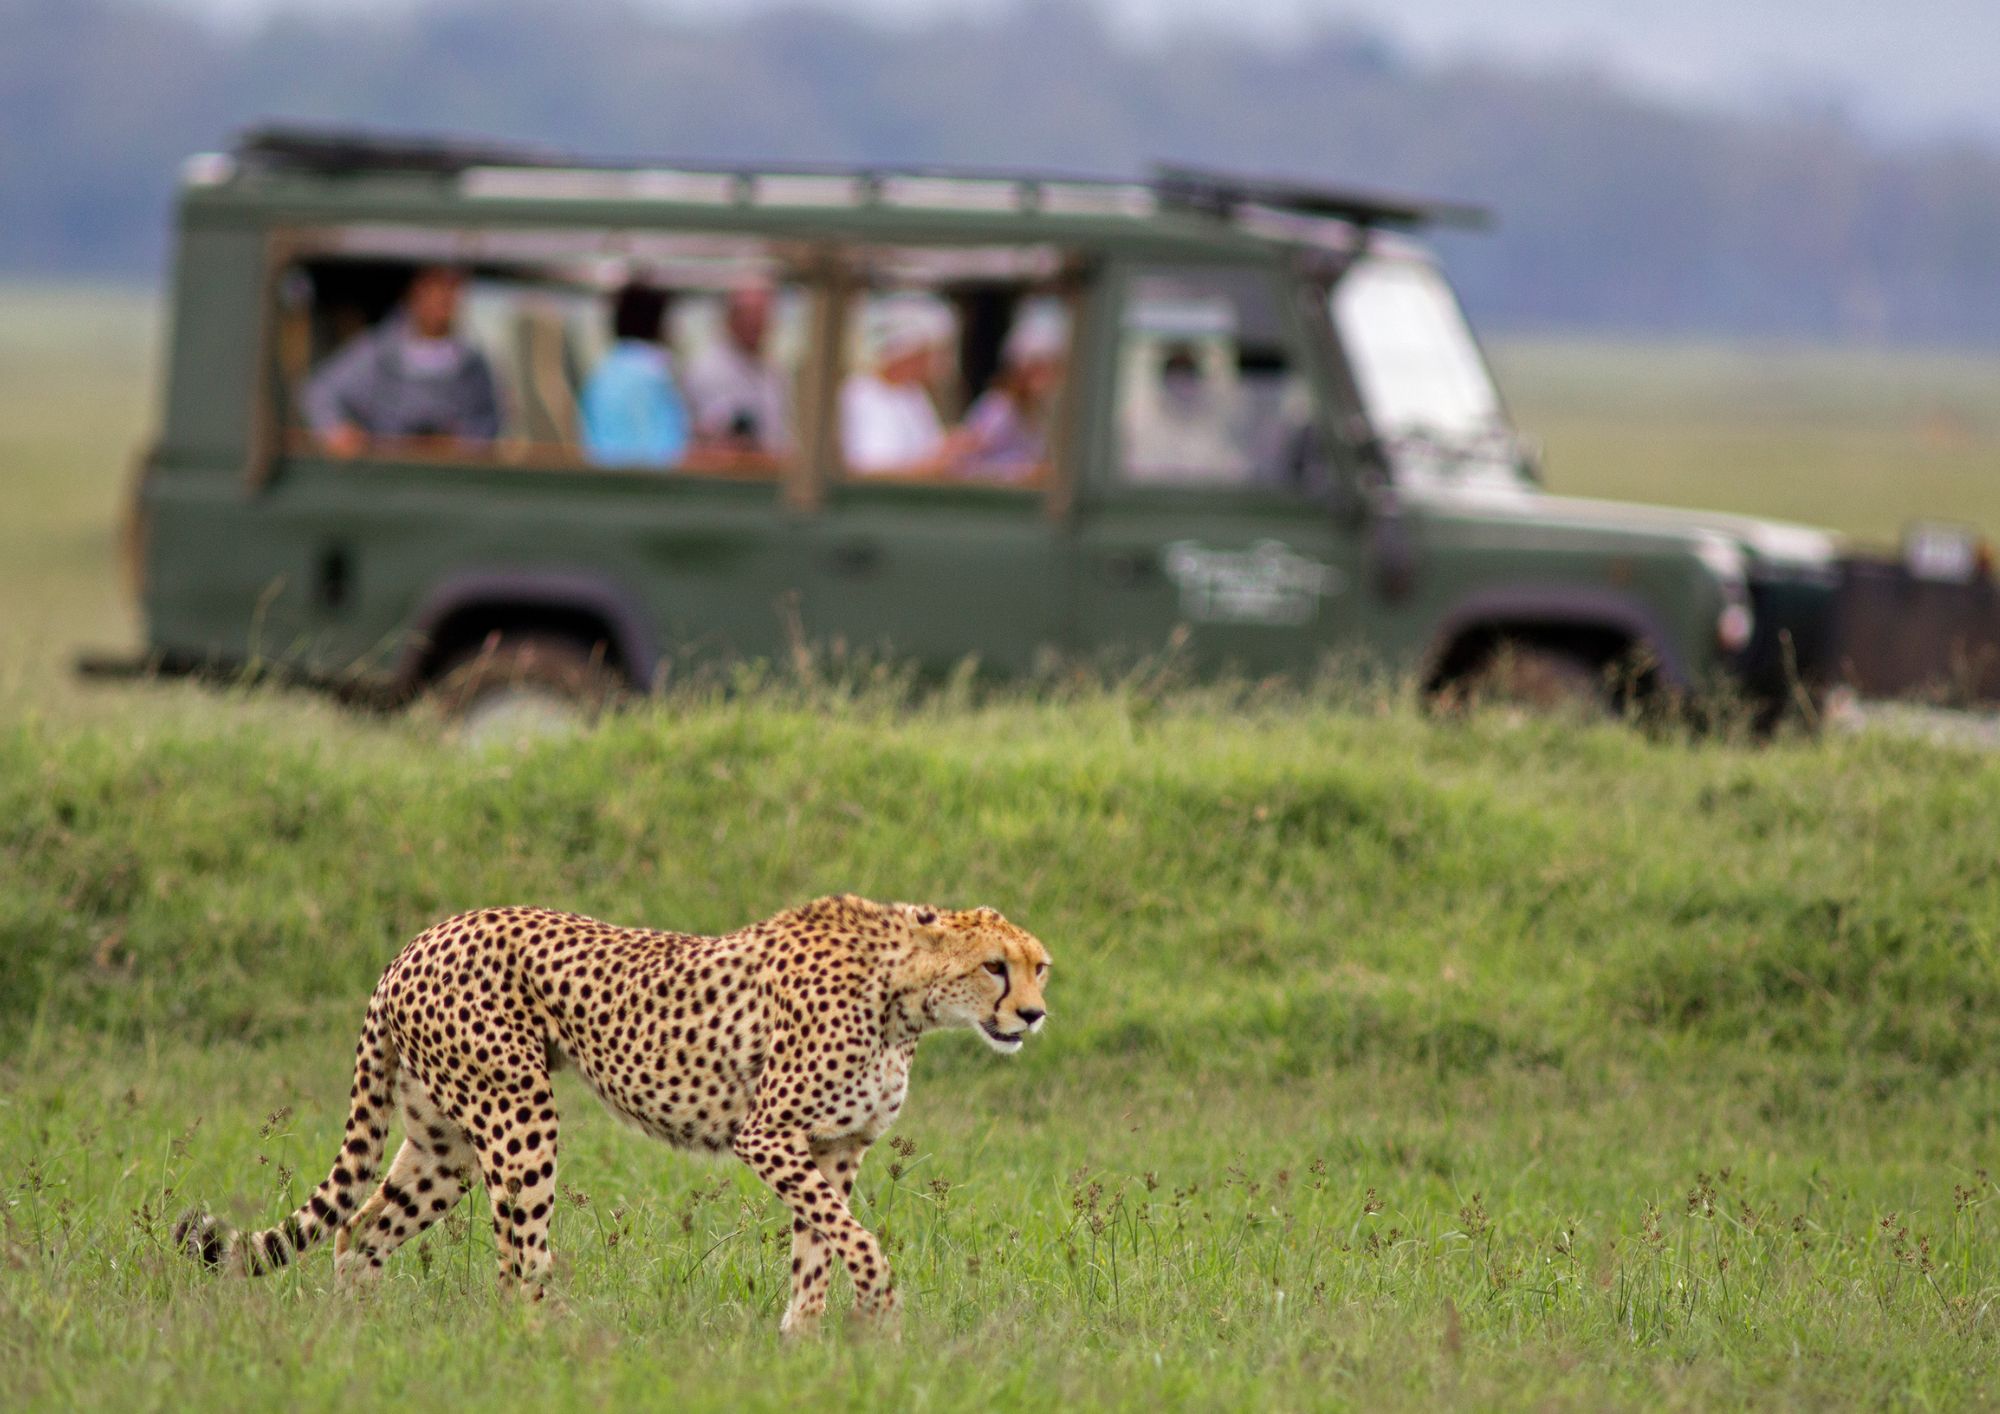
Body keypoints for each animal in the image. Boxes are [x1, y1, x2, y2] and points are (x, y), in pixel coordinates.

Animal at [174, 896, 1056, 1336]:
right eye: (994, 967)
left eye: (1039, 967)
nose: (1035, 1014)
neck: (906, 997)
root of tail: (416, 942)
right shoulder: (769, 1135)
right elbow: (856, 1241)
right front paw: (881, 1310)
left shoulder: (833, 1149)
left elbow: (819, 1249)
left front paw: (803, 1347)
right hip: (518, 1112)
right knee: (516, 1263)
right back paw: (557, 1345)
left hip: (444, 1142)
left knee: (359, 1234)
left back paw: (360, 1343)